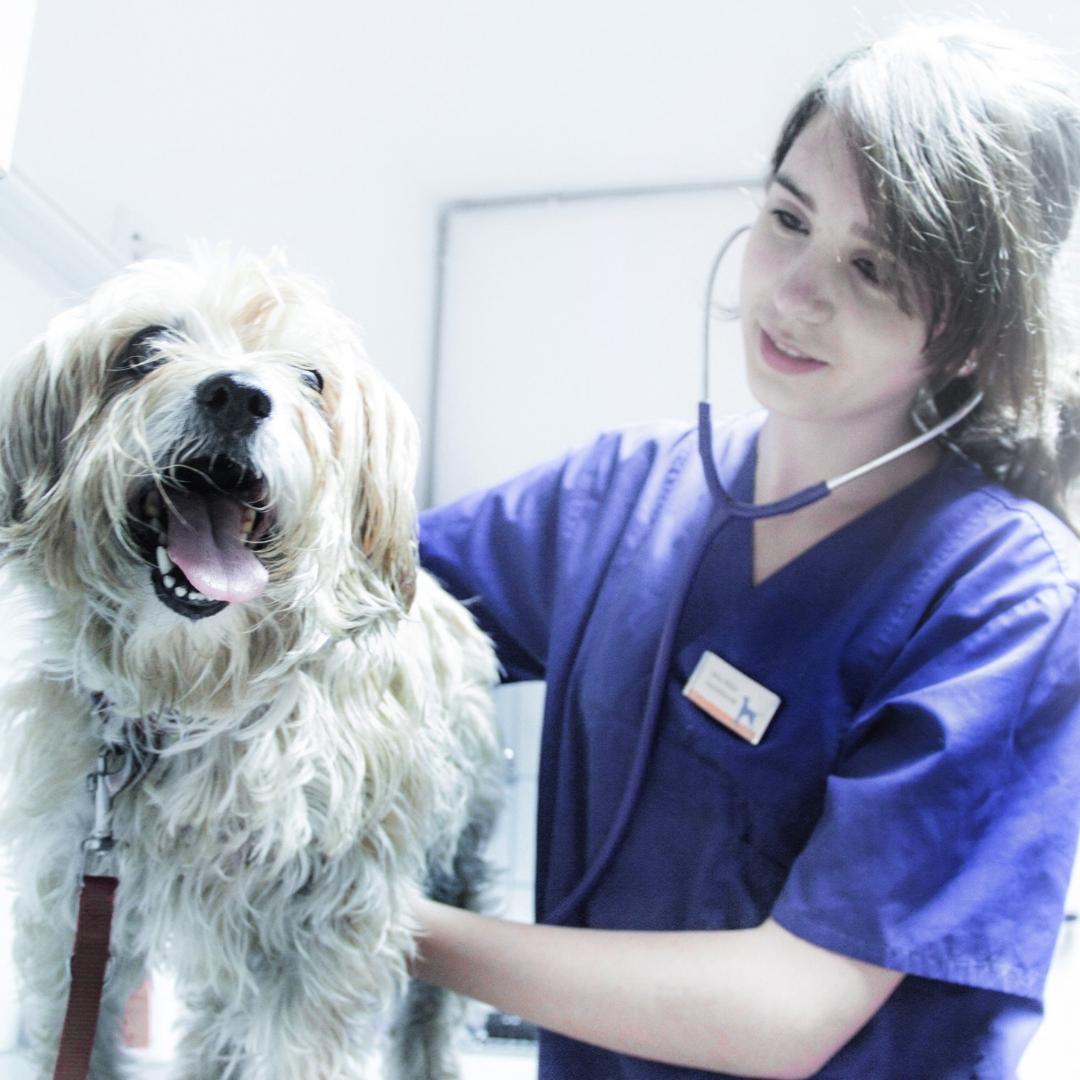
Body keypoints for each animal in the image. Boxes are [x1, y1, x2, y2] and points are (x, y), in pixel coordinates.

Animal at [0, 254, 503, 1080]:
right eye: (145, 345)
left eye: (311, 379)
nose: (237, 394)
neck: (194, 694)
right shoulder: (73, 896)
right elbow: (71, 1027)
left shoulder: (326, 927)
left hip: (458, 868)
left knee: (426, 1021)